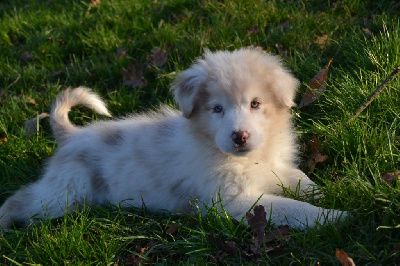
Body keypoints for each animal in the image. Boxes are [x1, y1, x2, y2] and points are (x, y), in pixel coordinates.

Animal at [0, 48, 346, 230]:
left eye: (255, 103)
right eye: (216, 109)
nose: (239, 136)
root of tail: (72, 136)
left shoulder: (272, 168)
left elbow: (298, 179)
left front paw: (333, 193)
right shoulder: (231, 200)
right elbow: (290, 208)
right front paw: (334, 217)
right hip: (65, 193)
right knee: (20, 200)